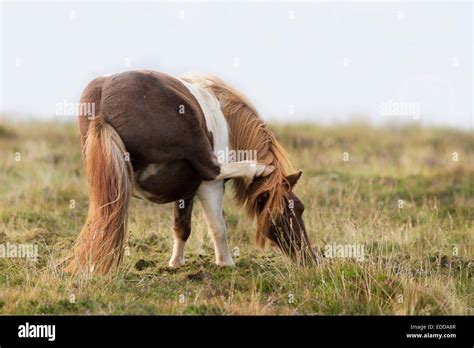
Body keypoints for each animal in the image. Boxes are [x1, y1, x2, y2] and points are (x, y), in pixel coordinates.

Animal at [65, 69, 316, 274]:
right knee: (214, 169)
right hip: (196, 145)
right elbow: (218, 226)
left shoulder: (186, 191)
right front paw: (226, 263)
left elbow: (182, 227)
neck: (227, 122)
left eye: (301, 208)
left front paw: (175, 263)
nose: (310, 259)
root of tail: (104, 100)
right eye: (288, 210)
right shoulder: (209, 187)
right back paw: (258, 168)